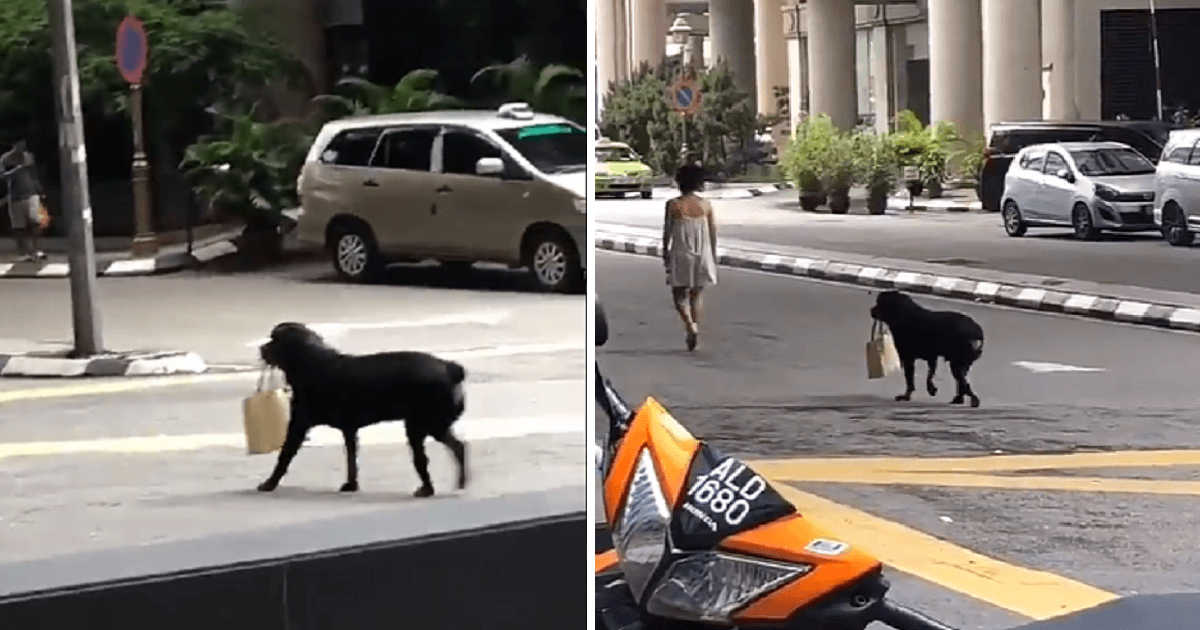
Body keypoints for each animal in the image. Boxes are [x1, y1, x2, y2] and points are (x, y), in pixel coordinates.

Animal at [258, 324, 468, 496]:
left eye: (275, 340)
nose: (261, 348)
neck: (310, 363)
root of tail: (451, 369)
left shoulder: (299, 424)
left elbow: (284, 456)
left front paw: (269, 483)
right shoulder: (349, 429)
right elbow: (352, 459)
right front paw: (351, 485)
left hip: (423, 425)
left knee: (428, 457)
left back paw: (429, 488)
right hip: (431, 425)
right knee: (456, 447)